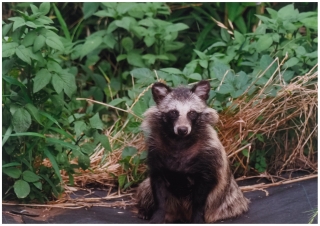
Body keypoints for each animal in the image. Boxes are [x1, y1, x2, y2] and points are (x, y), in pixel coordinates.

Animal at [136, 80, 249, 222]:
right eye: (174, 112)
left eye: (191, 113)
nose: (182, 129)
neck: (179, 141)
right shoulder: (156, 151)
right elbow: (158, 188)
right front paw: (157, 214)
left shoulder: (208, 156)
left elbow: (201, 196)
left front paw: (197, 217)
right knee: (145, 187)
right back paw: (145, 209)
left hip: (231, 201)